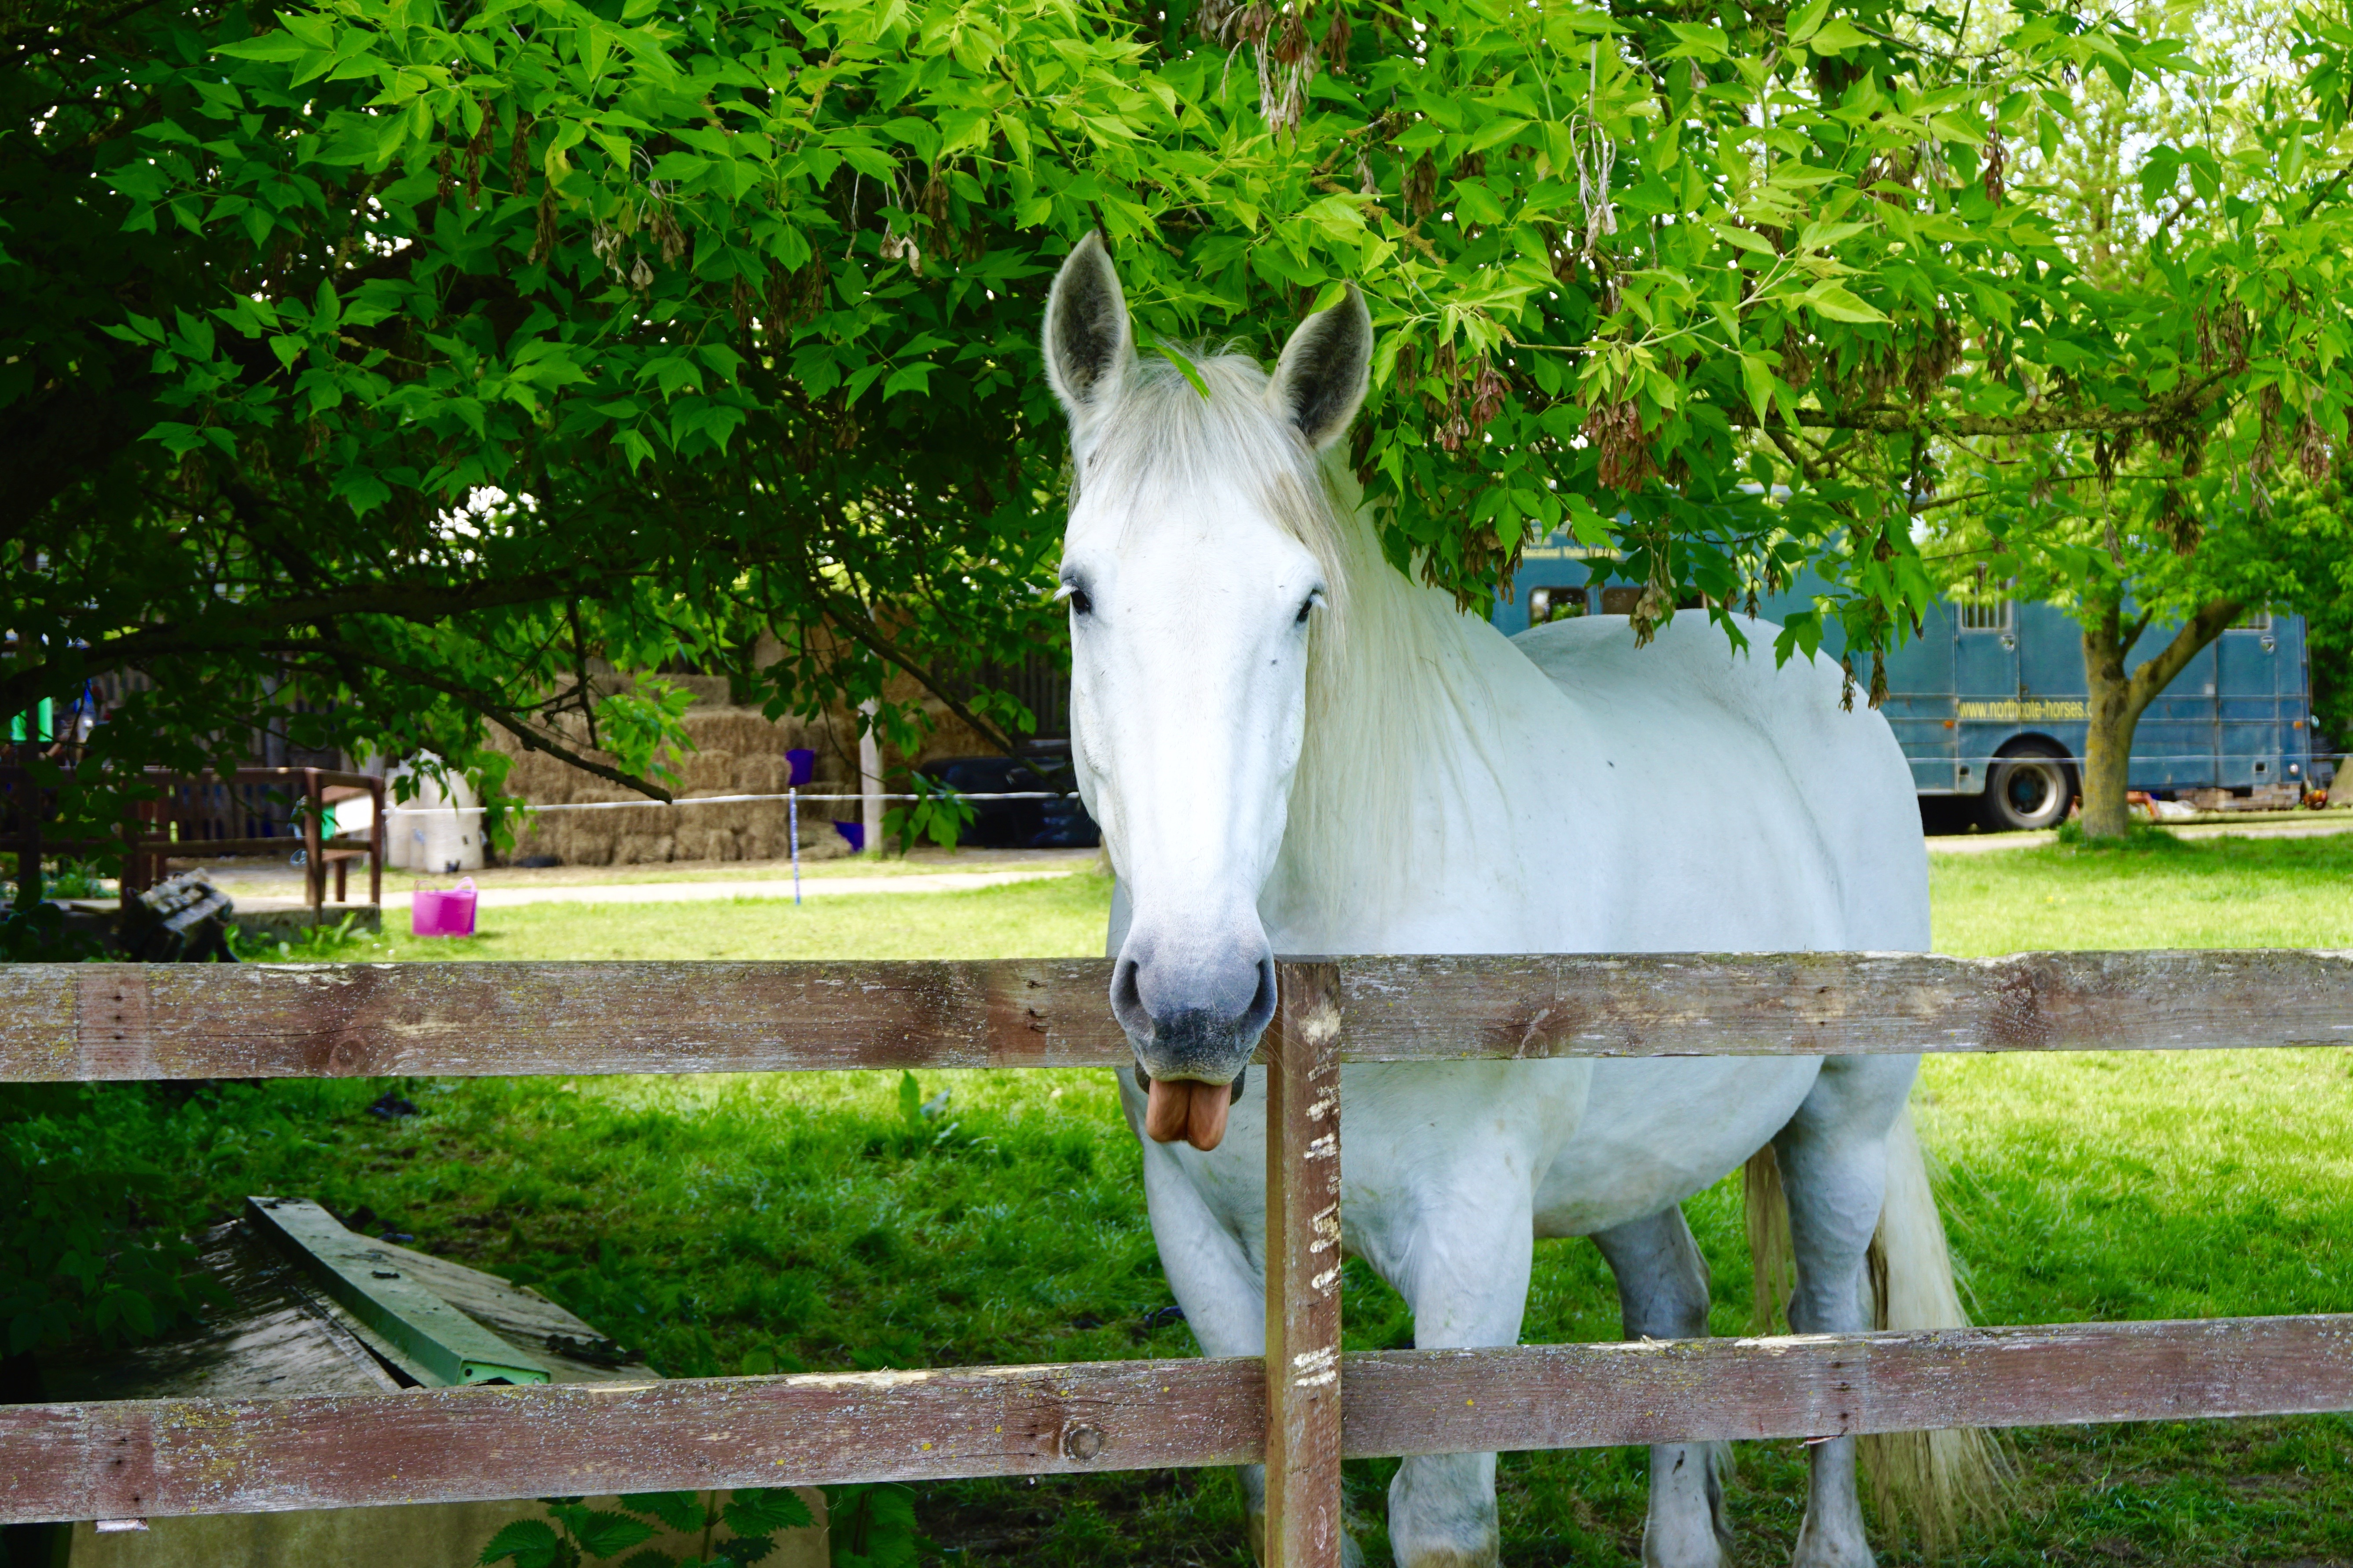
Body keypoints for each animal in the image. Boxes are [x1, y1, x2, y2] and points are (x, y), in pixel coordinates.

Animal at [1042, 232, 1997, 1568]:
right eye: (1080, 591)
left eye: (1303, 602)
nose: (1195, 1000)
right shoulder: (1205, 1247)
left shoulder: (1474, 1244)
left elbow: (1441, 1513)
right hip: (1633, 1158)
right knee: (1669, 1318)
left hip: (1843, 1123)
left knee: (1824, 1337)